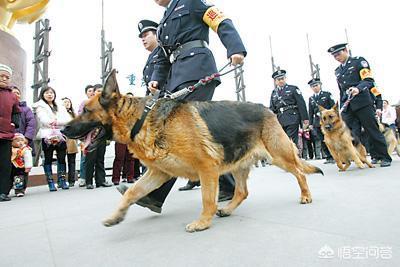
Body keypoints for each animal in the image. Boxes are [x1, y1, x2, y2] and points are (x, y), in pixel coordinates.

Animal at [63, 70, 324, 233]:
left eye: (85, 110)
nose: (63, 130)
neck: (140, 119)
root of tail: (267, 109)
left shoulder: (207, 168)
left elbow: (207, 199)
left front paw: (202, 222)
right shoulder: (159, 173)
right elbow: (132, 193)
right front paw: (116, 216)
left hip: (279, 156)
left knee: (300, 172)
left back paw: (305, 196)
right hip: (239, 163)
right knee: (242, 192)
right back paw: (227, 209)